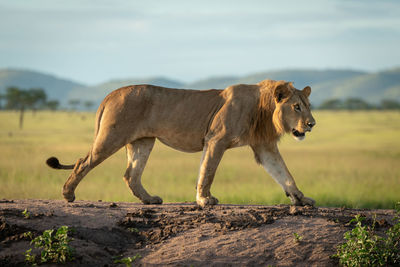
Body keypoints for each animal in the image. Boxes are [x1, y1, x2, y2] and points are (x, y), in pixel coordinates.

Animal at [46, 79, 316, 207]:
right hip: (111, 137)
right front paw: (205, 200)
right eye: (296, 107)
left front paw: (301, 199)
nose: (312, 124)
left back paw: (149, 200)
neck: (263, 109)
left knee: (131, 174)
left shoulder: (263, 146)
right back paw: (68, 194)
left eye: (308, 106)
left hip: (143, 141)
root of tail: (112, 93)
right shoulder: (216, 138)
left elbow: (284, 174)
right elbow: (208, 171)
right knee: (82, 162)